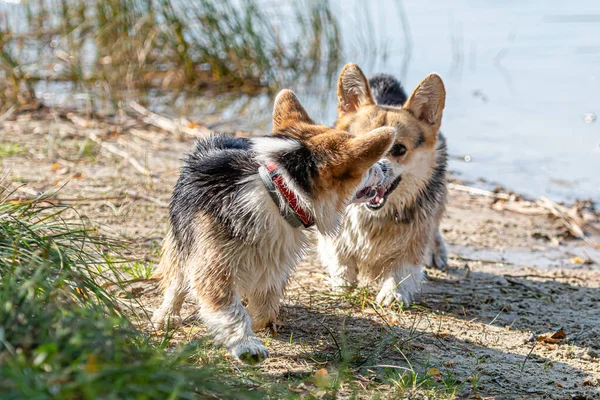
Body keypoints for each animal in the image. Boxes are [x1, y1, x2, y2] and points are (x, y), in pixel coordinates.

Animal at [151, 89, 394, 364]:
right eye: (368, 167)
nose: (386, 166)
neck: (279, 189)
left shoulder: (273, 264)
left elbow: (265, 307)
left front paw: (259, 322)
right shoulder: (212, 266)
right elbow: (229, 309)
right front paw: (246, 345)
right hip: (182, 239)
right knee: (176, 279)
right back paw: (167, 315)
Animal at [316, 62, 448, 306]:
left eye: (399, 149)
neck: (372, 216)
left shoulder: (413, 237)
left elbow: (403, 268)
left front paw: (393, 293)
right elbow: (339, 256)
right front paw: (343, 284)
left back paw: (437, 252)